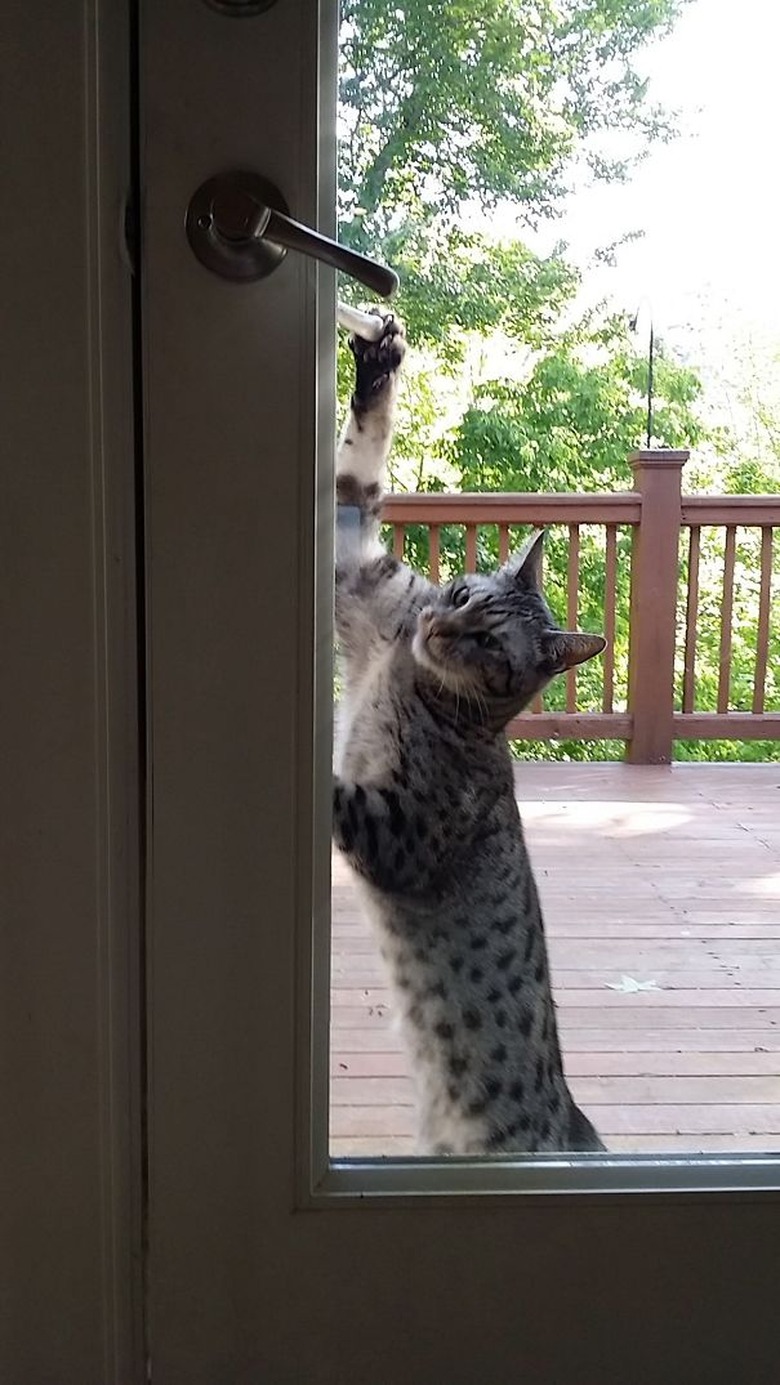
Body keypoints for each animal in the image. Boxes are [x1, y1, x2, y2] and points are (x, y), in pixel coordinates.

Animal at [332, 317, 606, 1157]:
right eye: (456, 592)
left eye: (487, 642)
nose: (435, 627)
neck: (408, 676)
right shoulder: (361, 577)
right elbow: (355, 478)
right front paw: (377, 358)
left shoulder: (403, 831)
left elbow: (337, 796)